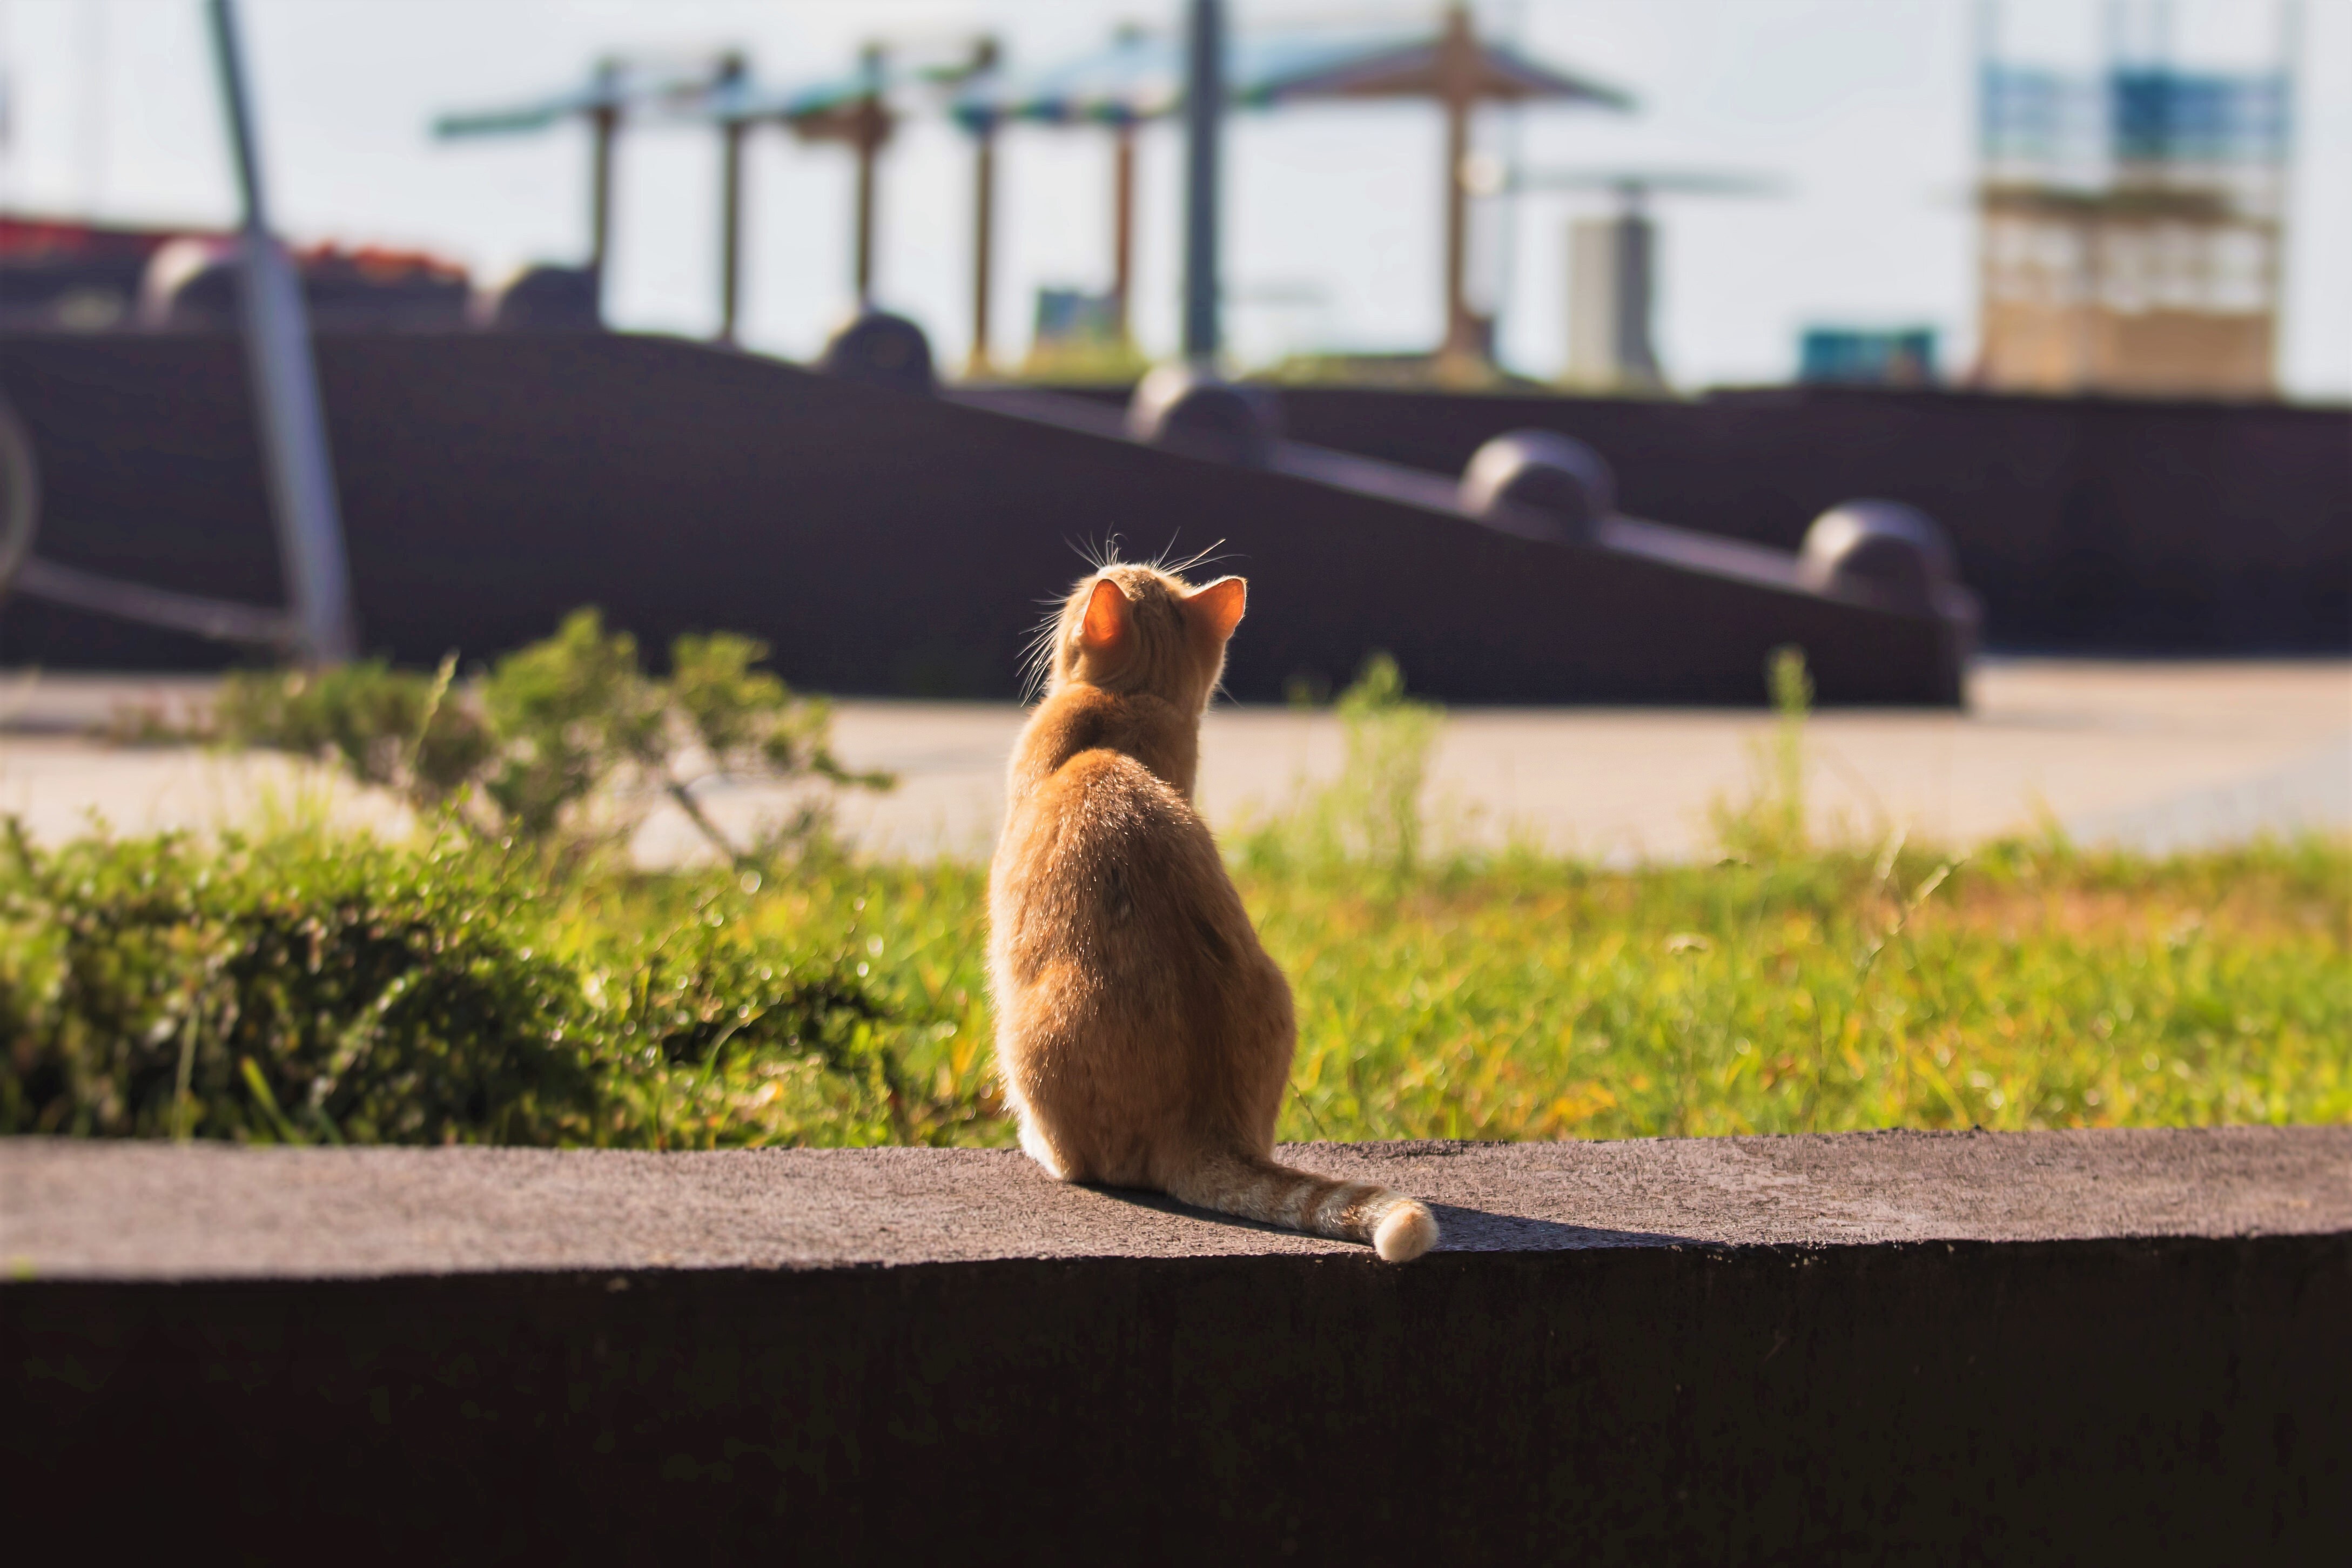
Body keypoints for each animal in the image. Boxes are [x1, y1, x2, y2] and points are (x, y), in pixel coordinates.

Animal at [987, 564, 1439, 1260]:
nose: (1094, 572)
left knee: (1079, 1160)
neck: (1133, 703)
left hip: (1023, 1032)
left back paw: (1040, 1148)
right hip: (1277, 985)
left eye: (1088, 587)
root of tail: (1206, 1129)